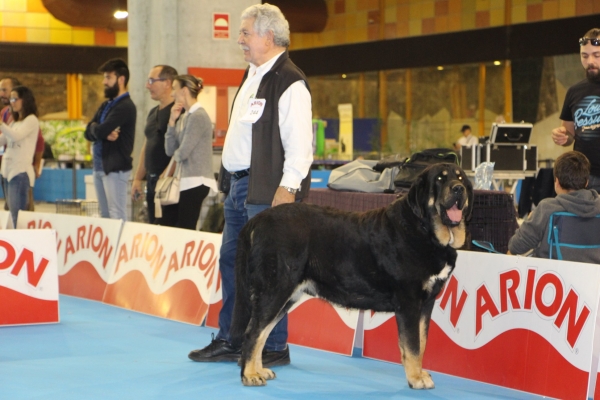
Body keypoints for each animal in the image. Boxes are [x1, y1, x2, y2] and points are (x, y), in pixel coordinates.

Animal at [230, 162, 474, 388]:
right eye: (440, 179)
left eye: (461, 177)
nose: (458, 189)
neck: (425, 230)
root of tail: (258, 220)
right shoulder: (409, 302)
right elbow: (412, 345)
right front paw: (415, 378)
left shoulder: (426, 302)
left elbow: (421, 342)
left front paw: (419, 373)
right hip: (275, 289)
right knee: (253, 333)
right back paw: (249, 375)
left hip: (286, 296)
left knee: (262, 333)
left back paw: (258, 370)